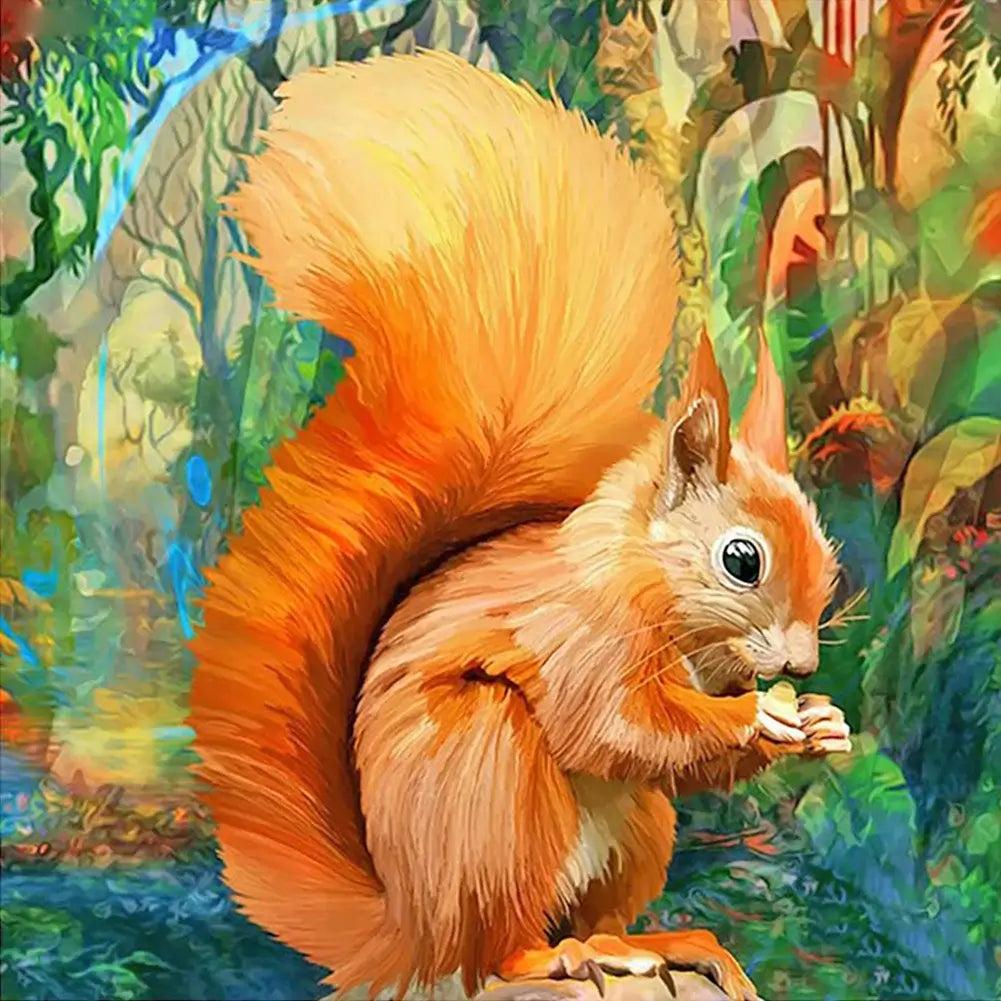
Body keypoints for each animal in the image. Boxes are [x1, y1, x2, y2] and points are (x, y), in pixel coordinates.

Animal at [188, 49, 852, 1001]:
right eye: (741, 559)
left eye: (829, 554)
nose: (798, 666)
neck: (651, 583)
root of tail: (411, 929)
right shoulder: (580, 637)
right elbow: (616, 726)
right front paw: (760, 717)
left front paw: (822, 722)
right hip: (489, 778)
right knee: (498, 943)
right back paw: (554, 956)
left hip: (635, 830)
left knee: (597, 905)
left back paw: (656, 941)